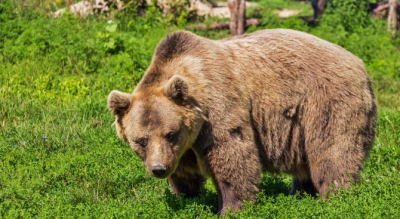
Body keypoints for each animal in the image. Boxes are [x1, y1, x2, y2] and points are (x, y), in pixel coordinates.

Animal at [106, 29, 376, 214]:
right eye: (140, 140)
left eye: (170, 133)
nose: (159, 169)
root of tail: (360, 63)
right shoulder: (183, 147)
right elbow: (185, 173)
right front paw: (187, 197)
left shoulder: (217, 108)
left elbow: (232, 154)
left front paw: (231, 207)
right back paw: (300, 194)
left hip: (326, 102)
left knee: (332, 152)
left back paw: (336, 197)